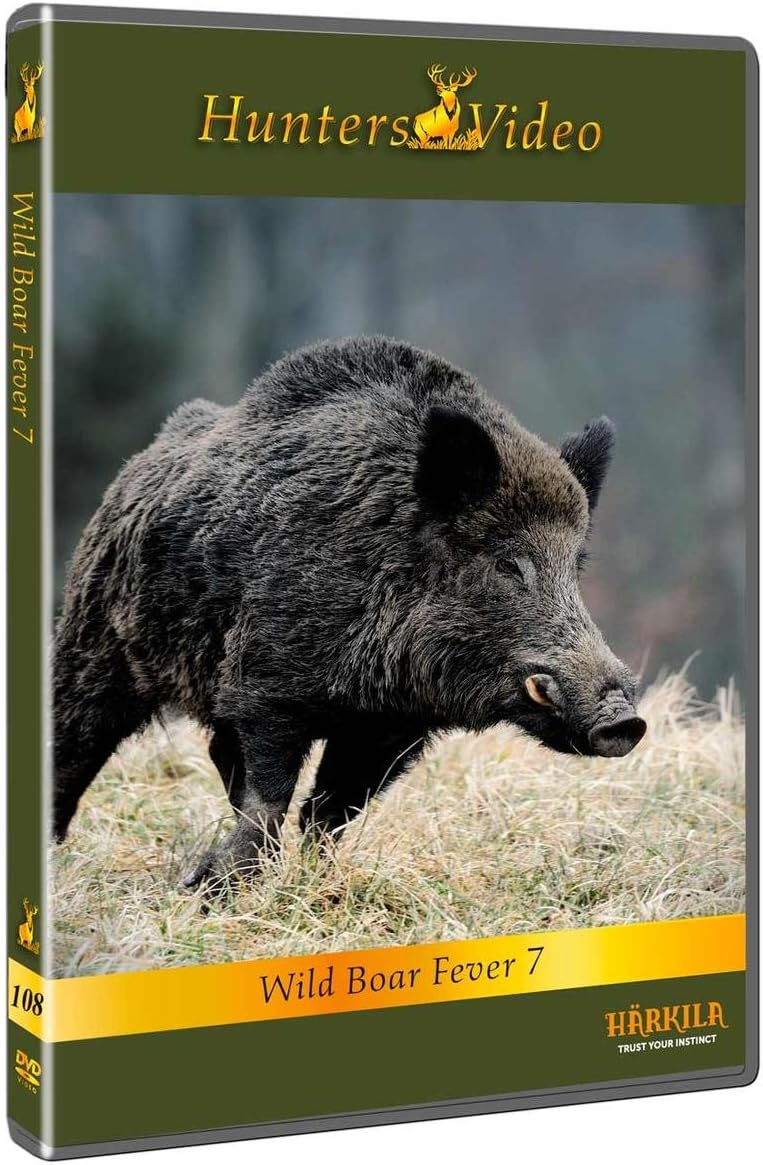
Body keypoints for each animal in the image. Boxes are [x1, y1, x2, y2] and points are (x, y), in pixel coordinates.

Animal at [53, 335, 646, 889]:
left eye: (575, 565)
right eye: (506, 563)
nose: (626, 721)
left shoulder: (392, 726)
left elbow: (330, 813)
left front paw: (318, 881)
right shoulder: (267, 686)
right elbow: (270, 798)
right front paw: (206, 890)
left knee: (221, 750)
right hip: (94, 645)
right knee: (74, 743)